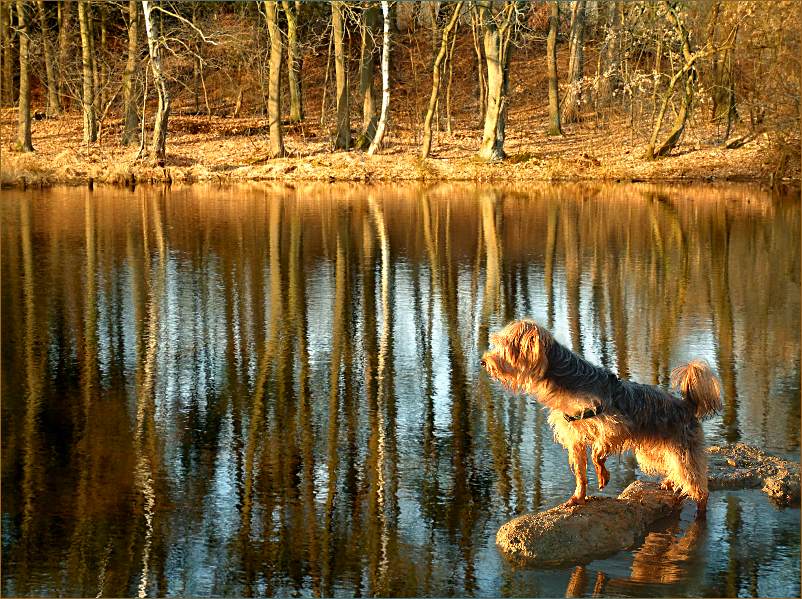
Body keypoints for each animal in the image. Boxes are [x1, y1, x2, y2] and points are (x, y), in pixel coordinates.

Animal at [478, 322, 720, 512]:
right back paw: (670, 481)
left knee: (698, 487)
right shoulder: (574, 438)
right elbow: (580, 472)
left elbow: (597, 452)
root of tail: (686, 405)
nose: (483, 361)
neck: (568, 387)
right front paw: (578, 497)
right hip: (653, 452)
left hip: (684, 452)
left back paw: (700, 511)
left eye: (504, 346)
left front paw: (603, 474)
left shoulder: (614, 427)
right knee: (674, 467)